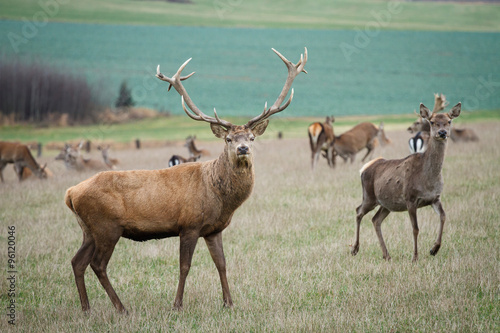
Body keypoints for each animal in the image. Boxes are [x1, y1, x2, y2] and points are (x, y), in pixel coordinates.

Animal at [65, 46, 306, 312]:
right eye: (228, 139)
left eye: (251, 138)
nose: (243, 148)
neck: (219, 197)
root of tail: (71, 193)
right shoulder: (189, 225)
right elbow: (185, 266)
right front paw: (177, 304)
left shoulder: (213, 229)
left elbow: (222, 263)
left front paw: (229, 302)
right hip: (106, 225)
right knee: (98, 264)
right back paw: (121, 308)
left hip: (88, 229)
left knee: (77, 261)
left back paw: (87, 309)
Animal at [352, 102, 460, 260]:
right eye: (432, 122)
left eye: (449, 121)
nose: (442, 133)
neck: (428, 180)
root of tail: (364, 168)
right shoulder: (410, 198)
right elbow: (415, 228)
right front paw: (415, 257)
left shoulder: (435, 198)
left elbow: (443, 216)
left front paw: (434, 249)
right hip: (369, 196)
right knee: (358, 211)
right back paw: (355, 248)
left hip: (386, 204)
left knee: (375, 219)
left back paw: (386, 255)